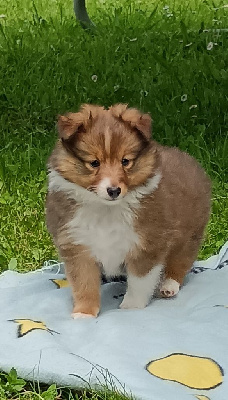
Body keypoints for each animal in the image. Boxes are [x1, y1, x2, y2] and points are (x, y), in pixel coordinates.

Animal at [46, 103, 212, 318]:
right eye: (94, 163)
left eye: (125, 161)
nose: (114, 190)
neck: (106, 209)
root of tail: (190, 159)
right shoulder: (76, 245)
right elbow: (84, 283)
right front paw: (84, 313)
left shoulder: (147, 244)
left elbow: (139, 282)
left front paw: (130, 308)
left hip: (189, 233)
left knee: (181, 261)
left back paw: (168, 286)